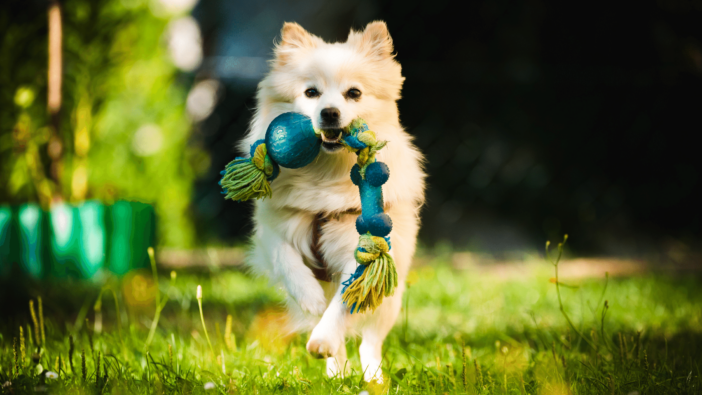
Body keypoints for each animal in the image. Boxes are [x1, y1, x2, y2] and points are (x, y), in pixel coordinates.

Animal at [241, 20, 428, 384]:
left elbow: (344, 301)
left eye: (353, 93)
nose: (329, 113)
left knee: (370, 341)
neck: (326, 174)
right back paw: (337, 371)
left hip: (390, 300)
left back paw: (372, 378)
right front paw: (309, 297)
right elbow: (286, 259)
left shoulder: (364, 250)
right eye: (311, 93)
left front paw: (324, 338)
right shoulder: (273, 229)